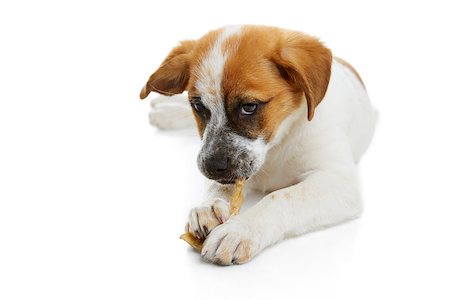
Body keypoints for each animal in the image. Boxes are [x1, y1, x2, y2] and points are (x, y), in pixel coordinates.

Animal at [140, 25, 376, 264]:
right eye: (198, 107)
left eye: (249, 107)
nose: (212, 167)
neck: (277, 143)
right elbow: (218, 186)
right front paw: (207, 206)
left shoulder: (340, 181)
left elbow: (280, 197)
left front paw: (240, 230)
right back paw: (167, 111)